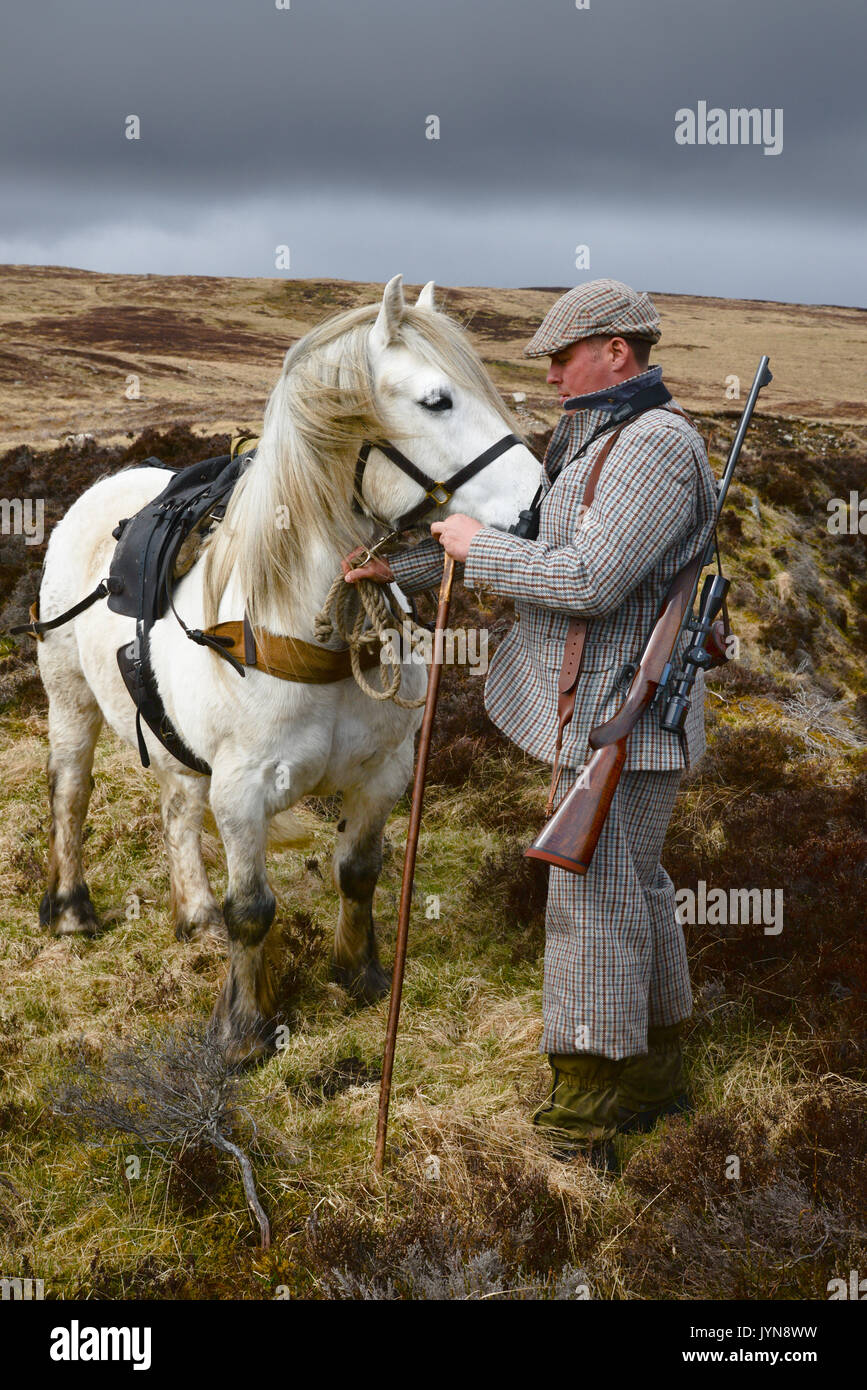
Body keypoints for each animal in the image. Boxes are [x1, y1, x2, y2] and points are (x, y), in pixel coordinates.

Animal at [35, 276, 541, 1056]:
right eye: (437, 400)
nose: (538, 506)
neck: (315, 635)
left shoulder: (382, 775)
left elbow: (358, 873)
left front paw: (359, 975)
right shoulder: (242, 793)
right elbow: (253, 909)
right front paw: (244, 1029)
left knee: (177, 804)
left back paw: (194, 913)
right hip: (70, 700)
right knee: (71, 791)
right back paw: (71, 909)